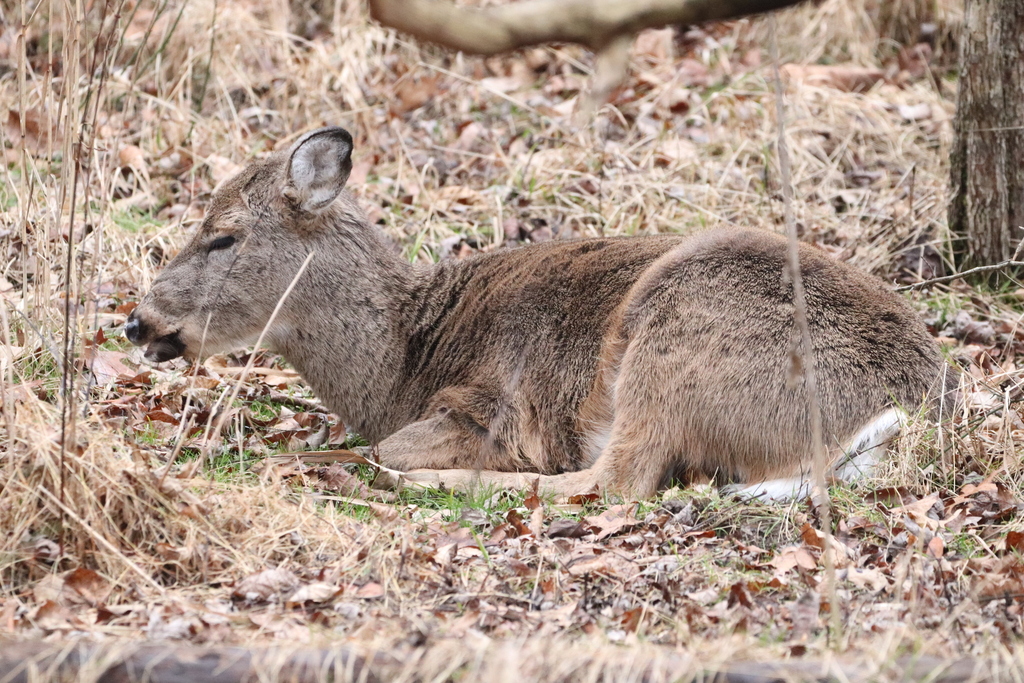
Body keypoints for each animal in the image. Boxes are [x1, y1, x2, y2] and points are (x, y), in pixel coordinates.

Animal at [125, 126, 956, 502]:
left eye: (224, 233)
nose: (138, 320)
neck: (402, 361)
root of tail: (905, 404)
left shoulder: (488, 404)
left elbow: (390, 446)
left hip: (680, 328)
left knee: (614, 479)